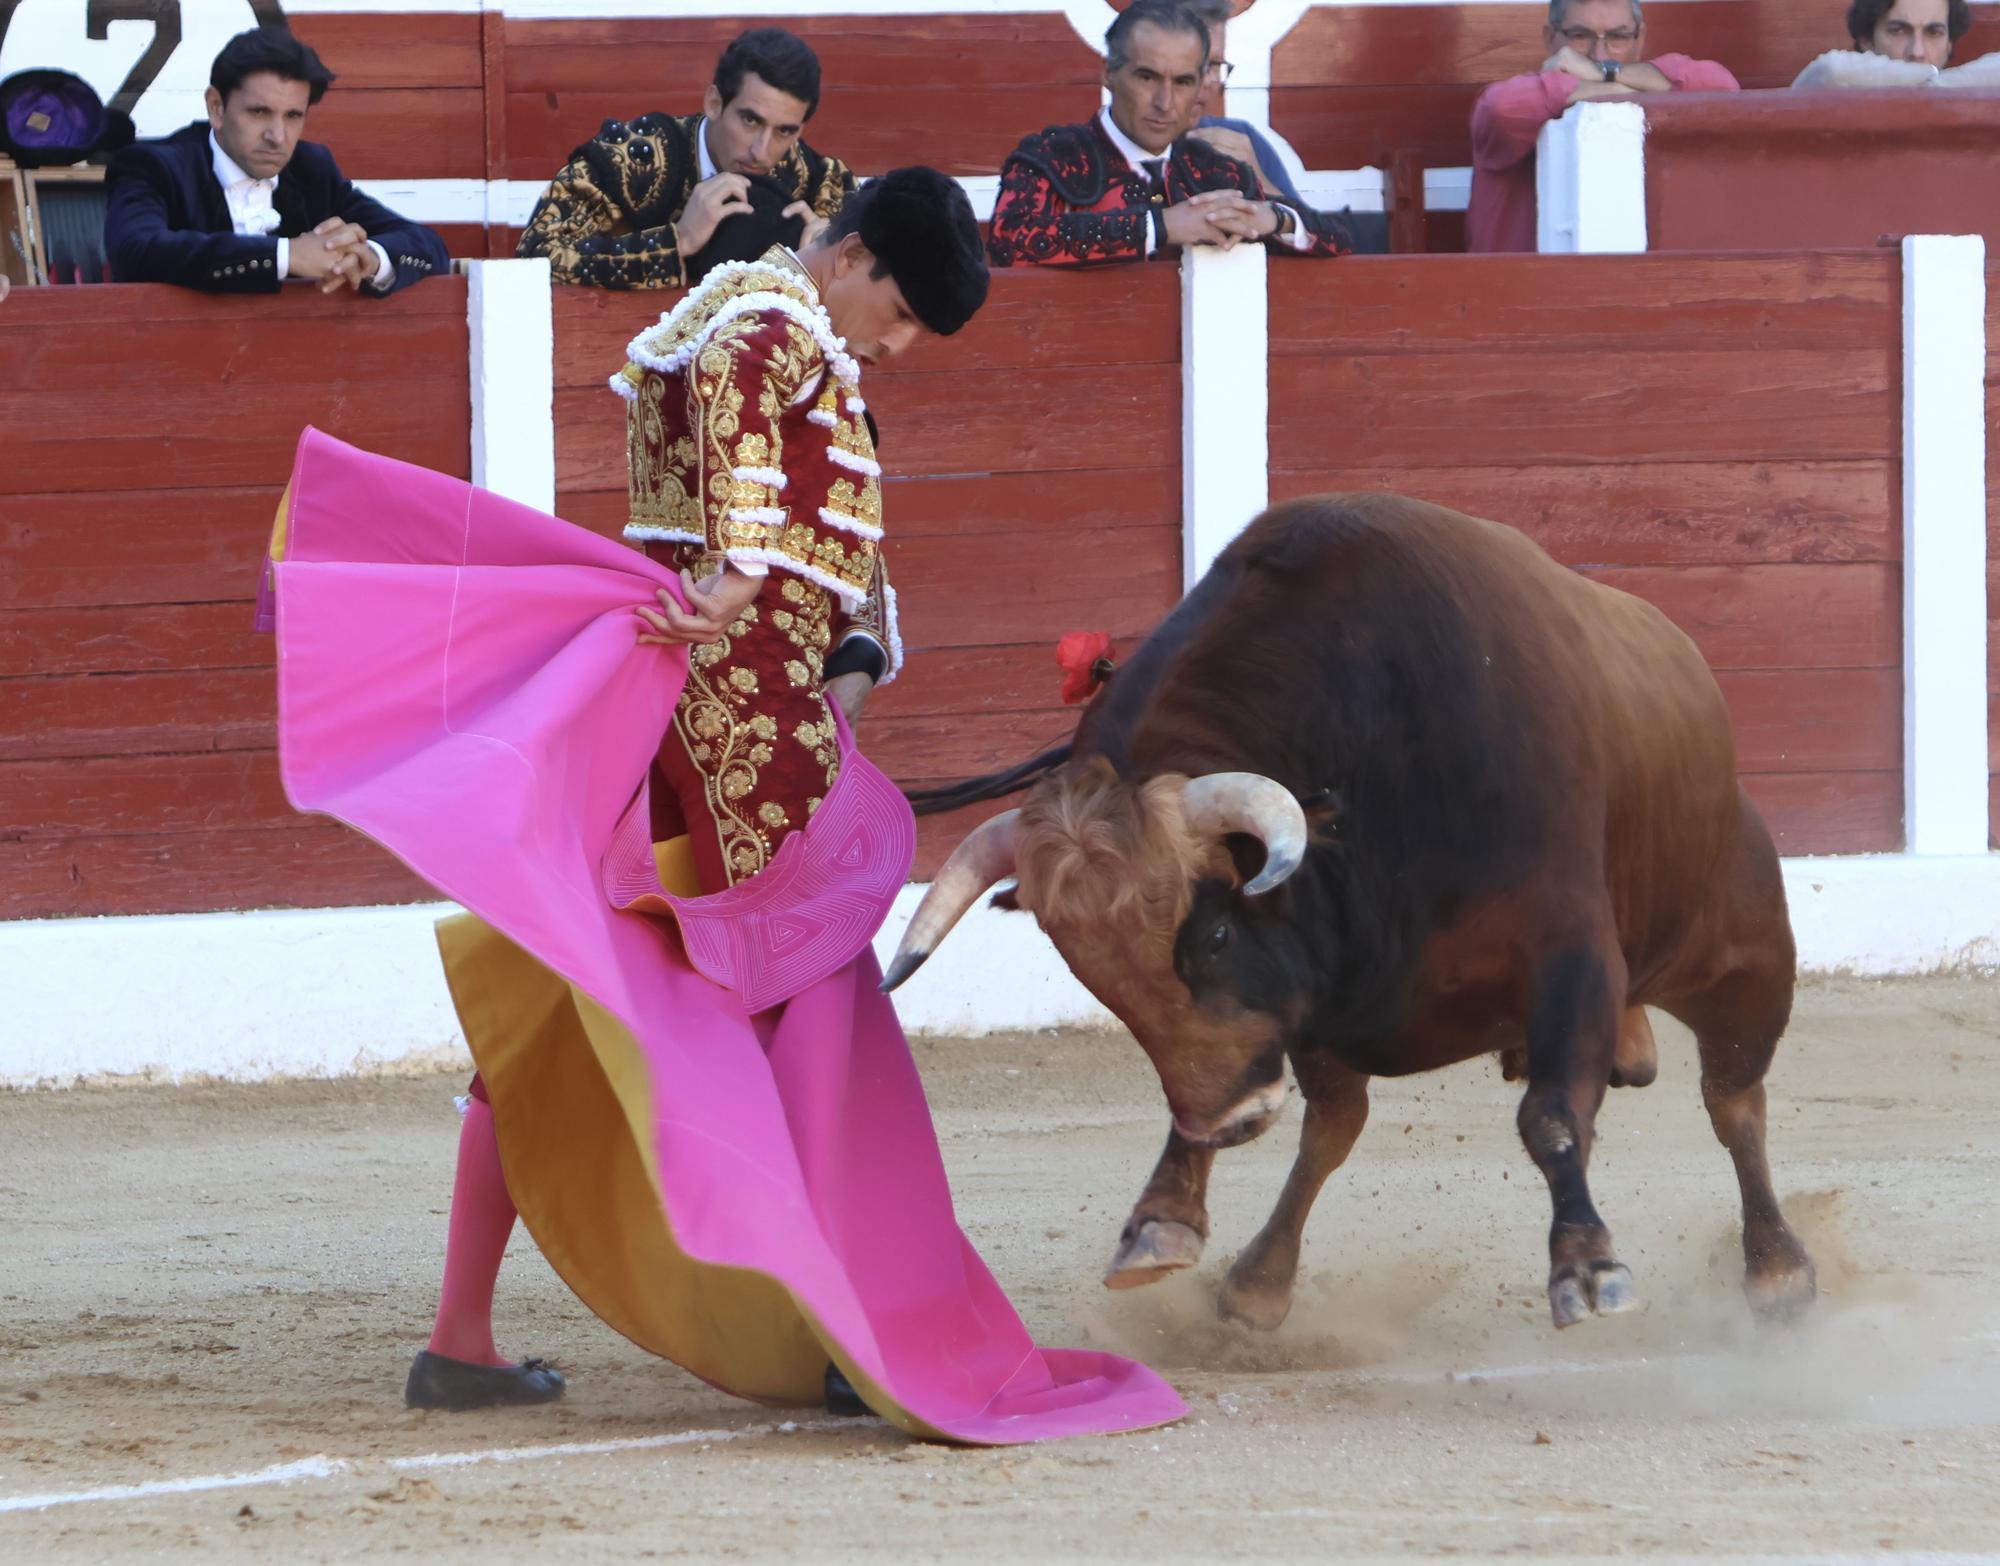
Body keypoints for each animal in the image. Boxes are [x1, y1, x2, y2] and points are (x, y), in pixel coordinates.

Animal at [884, 494, 1824, 1336]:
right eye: (1093, 975)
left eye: (1215, 933)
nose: (1230, 1122)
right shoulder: (1309, 1007)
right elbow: (1318, 1124)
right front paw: (1173, 1226)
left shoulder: (1573, 953)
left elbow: (1553, 1116)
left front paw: (1588, 1269)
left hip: (1742, 953)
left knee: (1734, 1100)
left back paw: (1779, 1271)